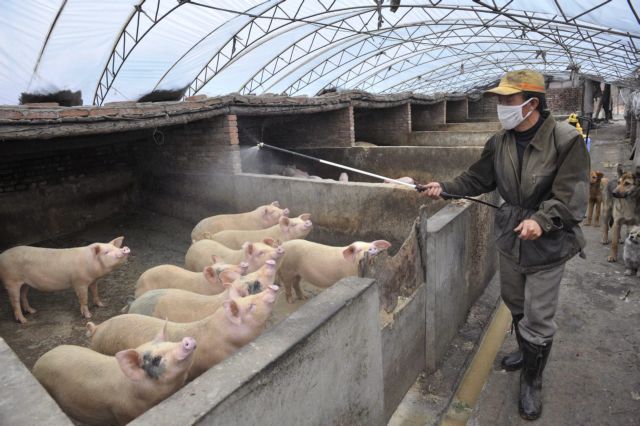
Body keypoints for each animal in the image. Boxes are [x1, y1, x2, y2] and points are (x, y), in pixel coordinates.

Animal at [0, 236, 130, 322]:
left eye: (115, 247)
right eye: (106, 252)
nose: (124, 249)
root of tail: (1, 256)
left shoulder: (94, 281)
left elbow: (95, 293)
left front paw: (102, 305)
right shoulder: (79, 282)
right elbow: (83, 299)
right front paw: (89, 316)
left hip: (26, 283)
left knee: (23, 296)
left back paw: (32, 311)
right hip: (11, 281)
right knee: (14, 301)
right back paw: (24, 321)